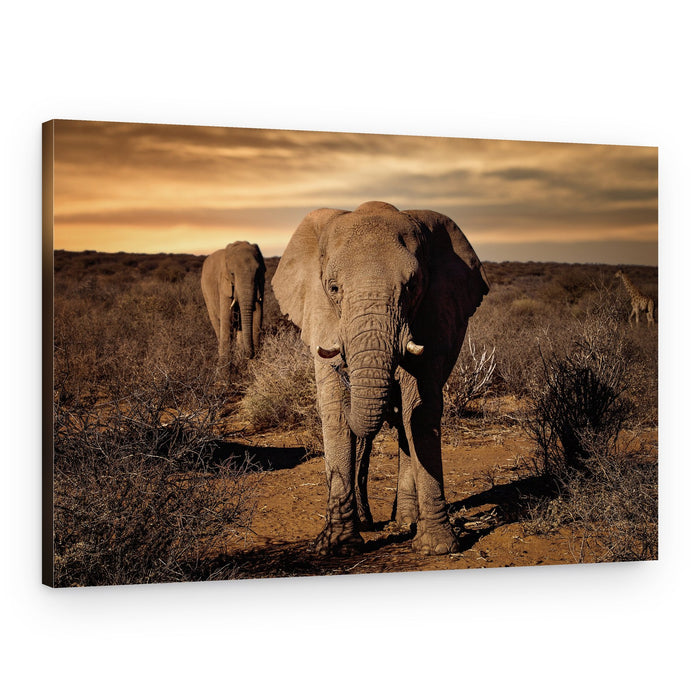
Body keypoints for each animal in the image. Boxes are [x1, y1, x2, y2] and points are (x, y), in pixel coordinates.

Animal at [272, 201, 489, 555]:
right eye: (333, 288)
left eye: (412, 286)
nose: (344, 370)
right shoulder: (321, 316)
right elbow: (334, 411)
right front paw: (336, 547)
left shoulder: (433, 313)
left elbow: (420, 410)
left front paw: (437, 548)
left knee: (403, 427)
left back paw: (406, 522)